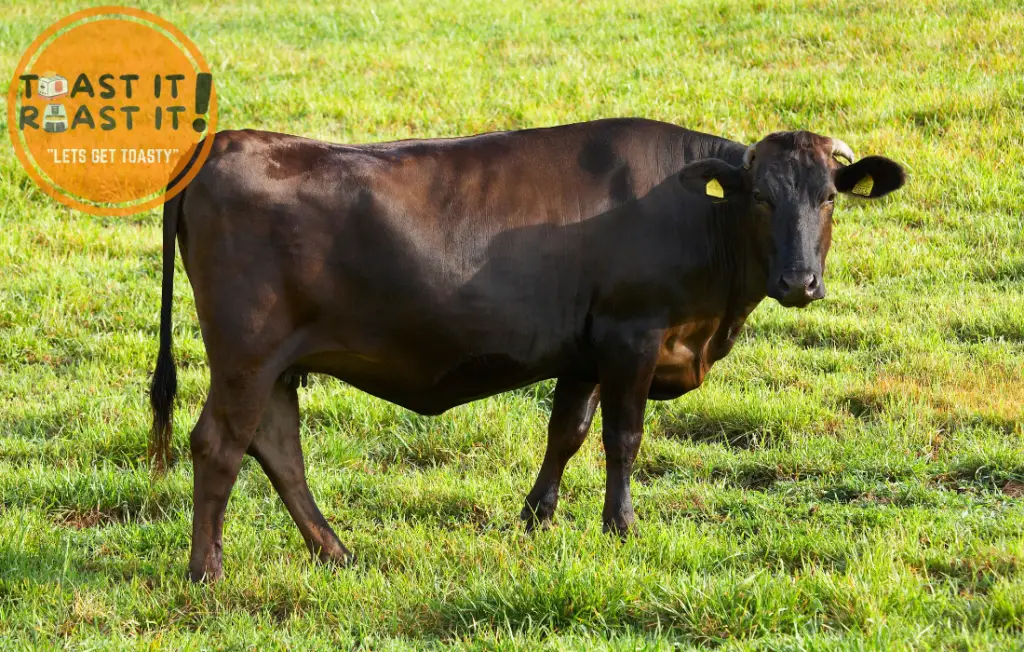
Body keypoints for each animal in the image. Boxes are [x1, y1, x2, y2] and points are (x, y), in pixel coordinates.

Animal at [149, 117, 905, 581]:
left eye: (829, 197)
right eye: (761, 198)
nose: (799, 281)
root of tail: (226, 142)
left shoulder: (585, 350)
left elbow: (567, 431)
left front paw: (536, 518)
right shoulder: (633, 334)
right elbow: (622, 437)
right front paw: (619, 526)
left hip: (277, 364)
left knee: (277, 448)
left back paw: (335, 552)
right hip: (246, 354)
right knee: (219, 444)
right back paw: (207, 570)